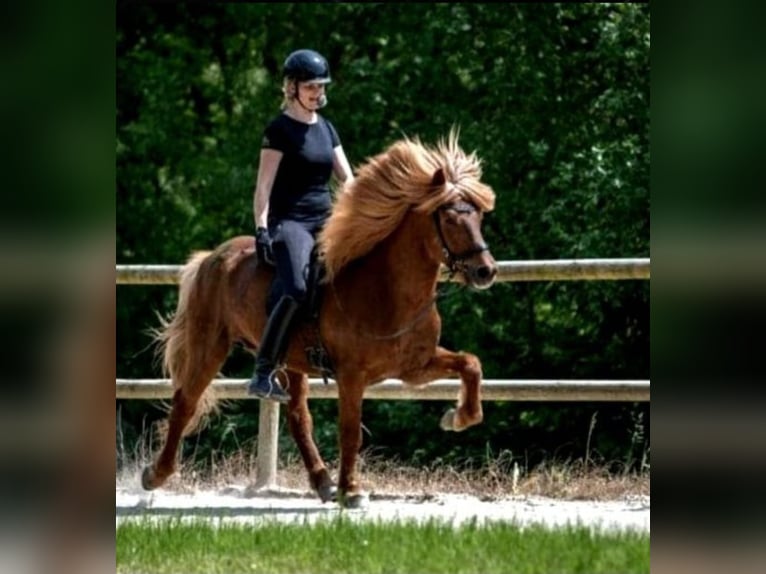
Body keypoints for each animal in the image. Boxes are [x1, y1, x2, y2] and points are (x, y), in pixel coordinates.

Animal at [142, 132, 498, 508]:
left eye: (478, 217)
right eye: (450, 218)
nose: (486, 271)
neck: (387, 290)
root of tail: (212, 257)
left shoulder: (415, 367)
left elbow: (471, 364)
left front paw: (458, 417)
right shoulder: (352, 375)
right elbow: (351, 431)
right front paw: (352, 491)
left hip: (291, 363)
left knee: (298, 418)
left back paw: (323, 481)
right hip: (209, 345)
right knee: (185, 401)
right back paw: (156, 474)